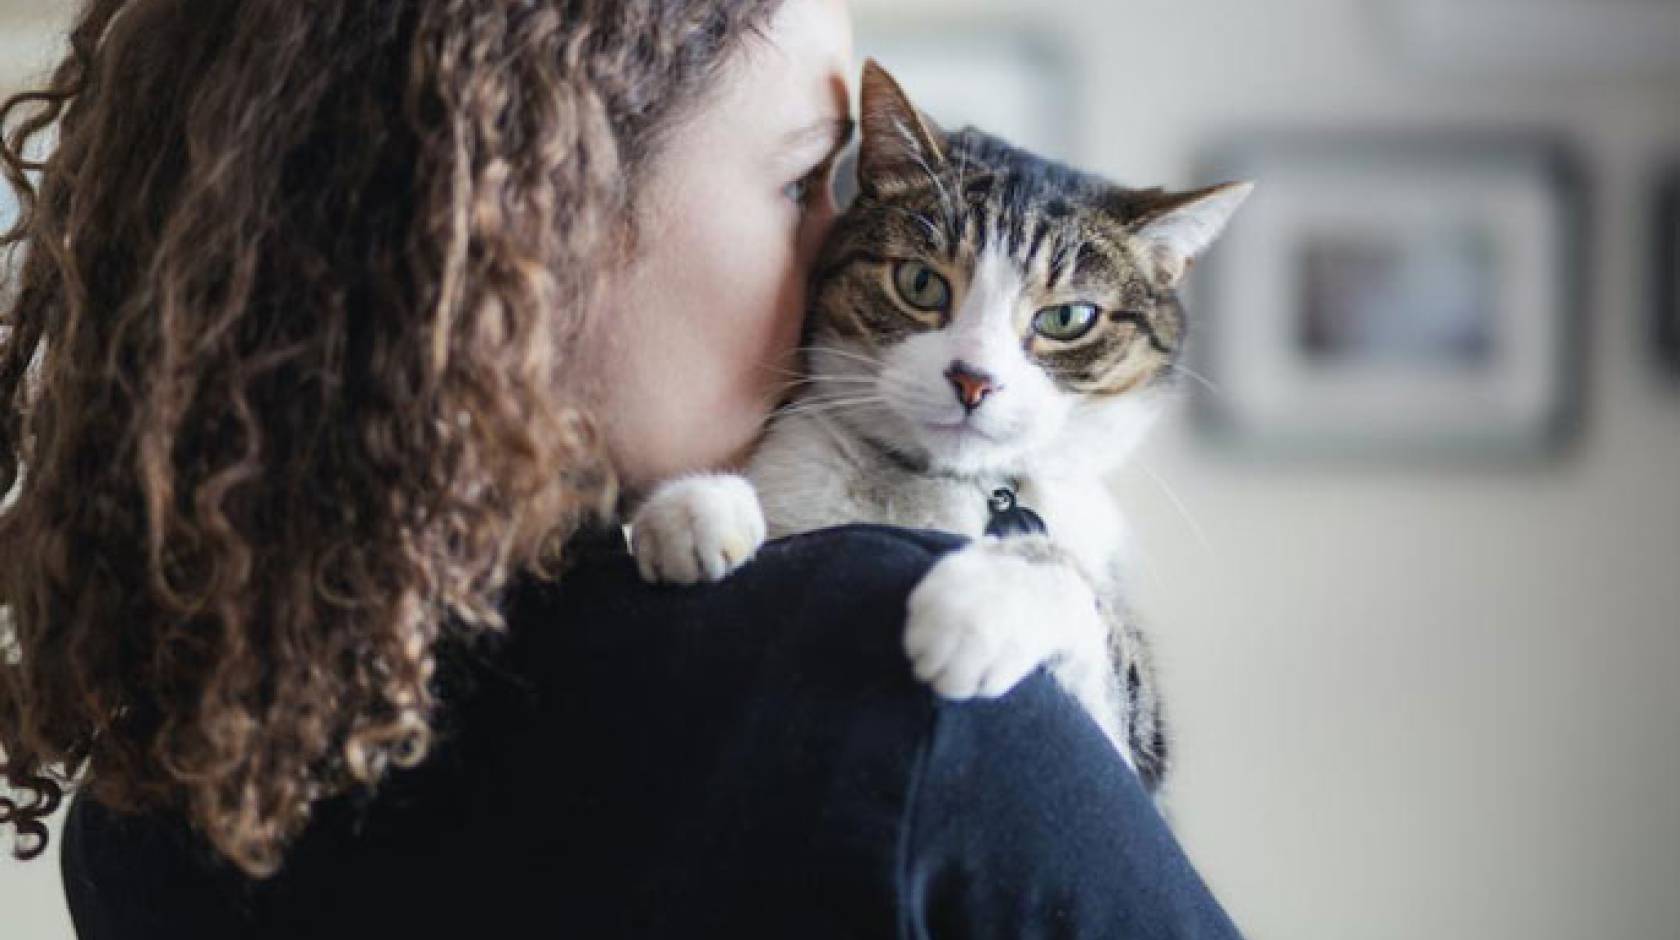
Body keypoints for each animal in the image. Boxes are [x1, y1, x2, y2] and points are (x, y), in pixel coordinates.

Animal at [628, 60, 1249, 792]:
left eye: (1067, 318)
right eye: (920, 283)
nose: (973, 379)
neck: (940, 488)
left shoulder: (1135, 745)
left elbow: (1084, 602)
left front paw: (979, 606)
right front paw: (695, 510)